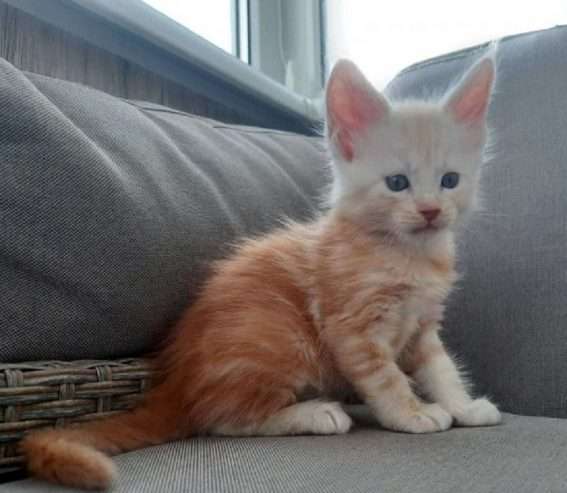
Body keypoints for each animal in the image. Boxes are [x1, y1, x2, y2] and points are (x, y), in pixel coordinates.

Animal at [21, 54, 502, 488]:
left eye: (450, 180)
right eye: (397, 183)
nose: (430, 211)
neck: (409, 253)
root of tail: (178, 381)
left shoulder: (423, 325)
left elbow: (440, 369)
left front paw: (462, 406)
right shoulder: (351, 326)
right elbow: (386, 377)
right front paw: (411, 412)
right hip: (278, 338)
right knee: (220, 420)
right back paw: (316, 413)